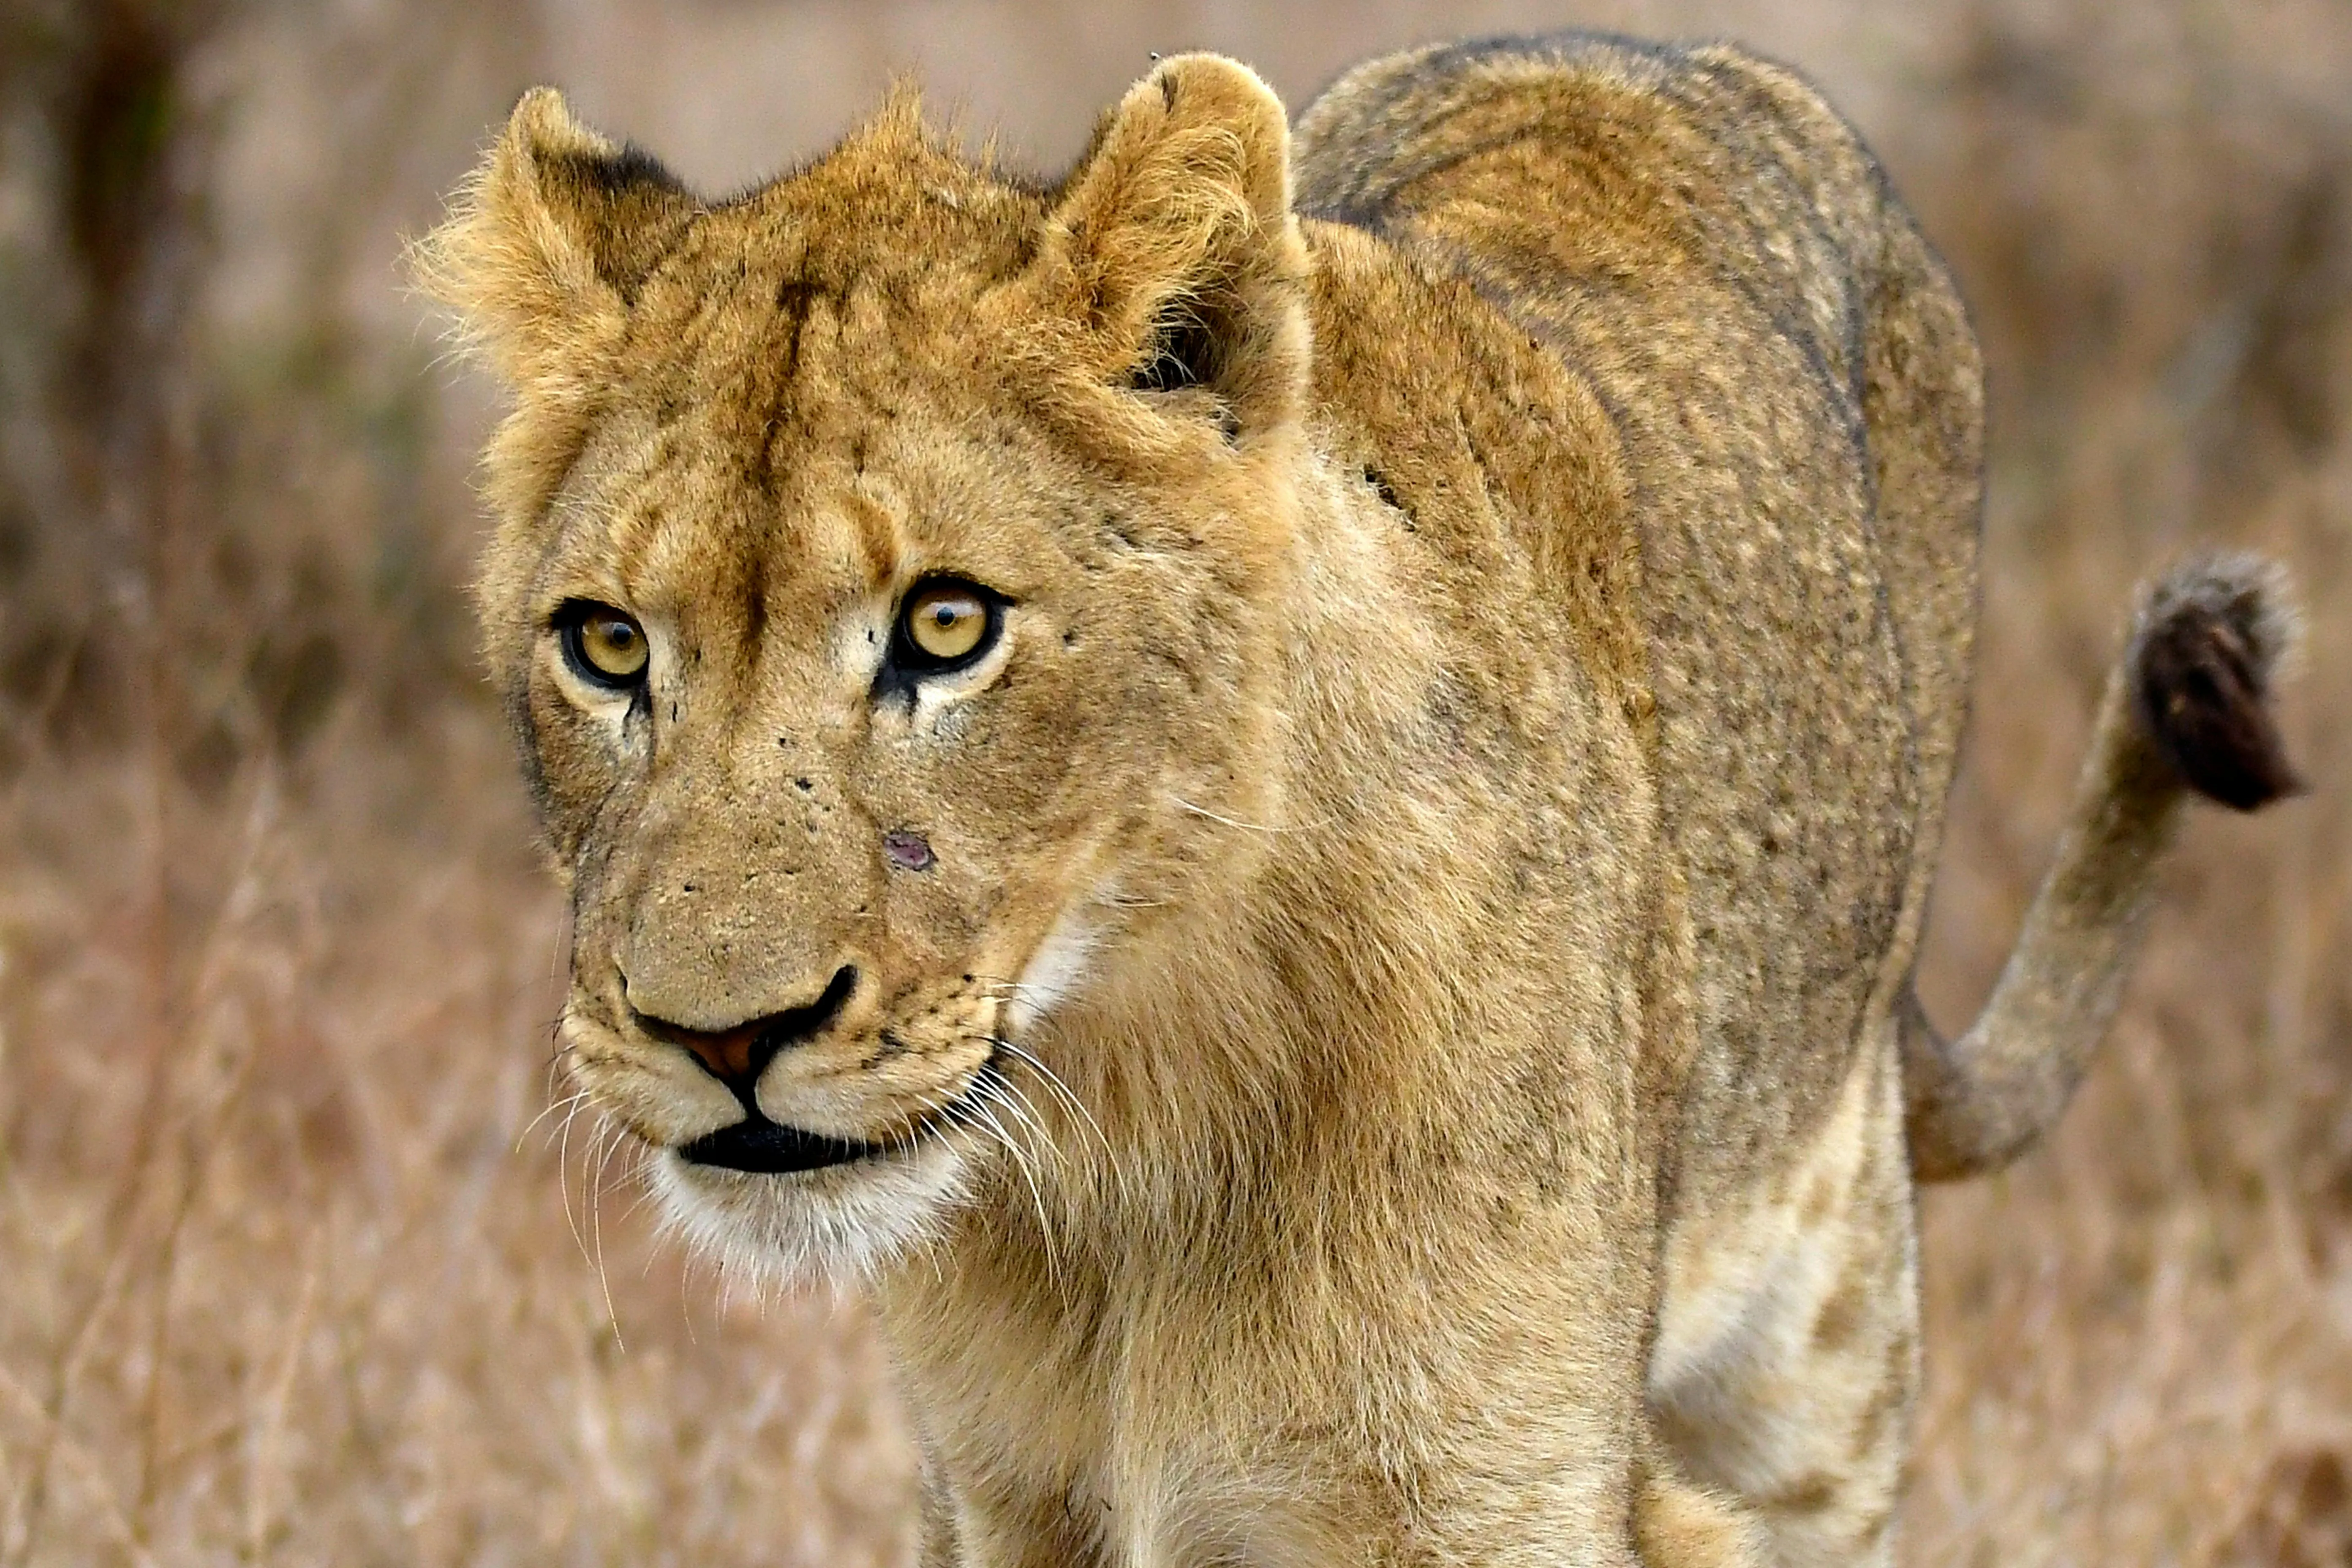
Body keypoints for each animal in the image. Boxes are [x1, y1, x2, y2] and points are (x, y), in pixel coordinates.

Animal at [420, 32, 2301, 1566]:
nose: (719, 1036)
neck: (1121, 1128)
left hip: (1820, 1371)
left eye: (947, 627)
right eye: (605, 645)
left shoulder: (1501, 1499)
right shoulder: (1001, 1497)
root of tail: (1629, 49)